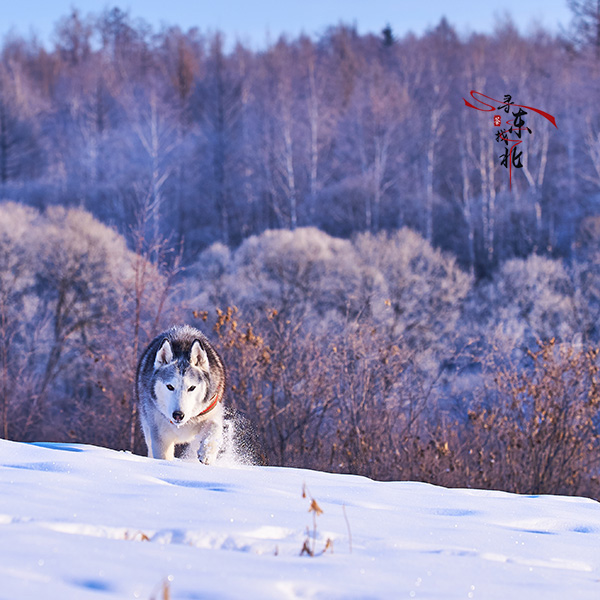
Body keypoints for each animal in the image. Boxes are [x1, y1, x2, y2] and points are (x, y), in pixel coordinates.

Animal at [137, 326, 227, 462]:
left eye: (192, 388)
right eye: (170, 386)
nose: (178, 415)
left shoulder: (211, 412)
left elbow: (214, 426)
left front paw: (207, 453)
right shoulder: (160, 436)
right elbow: (163, 457)